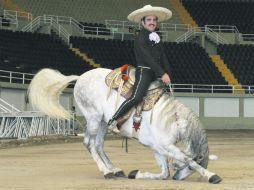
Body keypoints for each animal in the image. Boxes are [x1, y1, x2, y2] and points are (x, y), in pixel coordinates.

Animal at [28, 67, 222, 183]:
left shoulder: (157, 147)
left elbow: (164, 172)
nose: (177, 178)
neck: (171, 118)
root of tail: (81, 76)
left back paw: (115, 169)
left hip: (103, 122)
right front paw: (211, 176)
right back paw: (105, 171)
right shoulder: (165, 146)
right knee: (89, 143)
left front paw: (136, 173)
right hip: (93, 117)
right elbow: (187, 159)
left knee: (98, 144)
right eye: (187, 169)